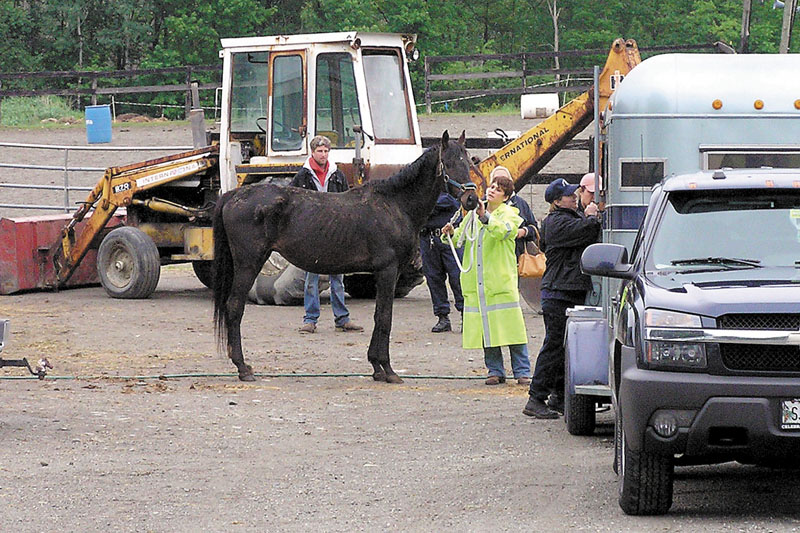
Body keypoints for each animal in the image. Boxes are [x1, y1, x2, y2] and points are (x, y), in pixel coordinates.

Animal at [213, 130, 476, 382]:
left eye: (468, 161)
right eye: (449, 163)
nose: (471, 199)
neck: (395, 205)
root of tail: (232, 196)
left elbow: (380, 315)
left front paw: (376, 368)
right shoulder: (387, 270)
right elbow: (384, 317)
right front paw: (387, 369)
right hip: (249, 264)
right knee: (234, 306)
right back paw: (243, 368)